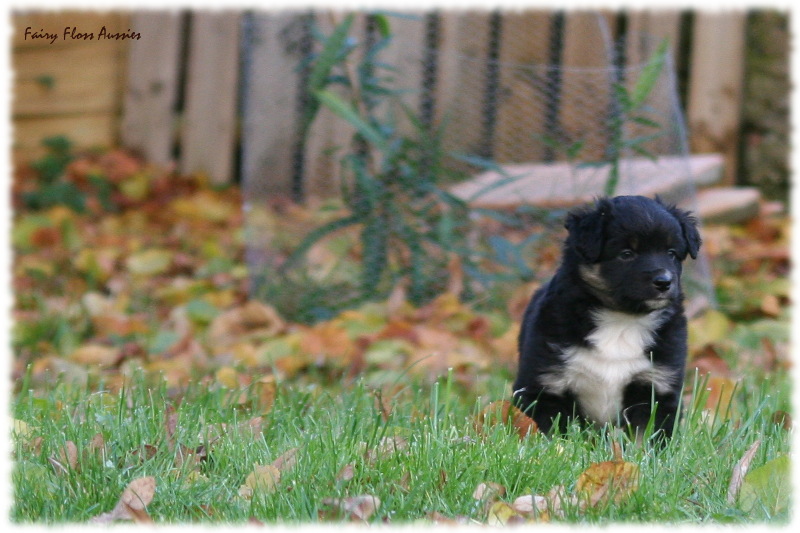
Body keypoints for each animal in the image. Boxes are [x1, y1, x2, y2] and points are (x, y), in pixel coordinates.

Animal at [512, 193, 700, 438]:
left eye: (671, 253)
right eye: (626, 254)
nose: (664, 282)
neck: (621, 320)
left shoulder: (656, 387)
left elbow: (645, 438)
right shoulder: (545, 386)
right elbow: (550, 434)